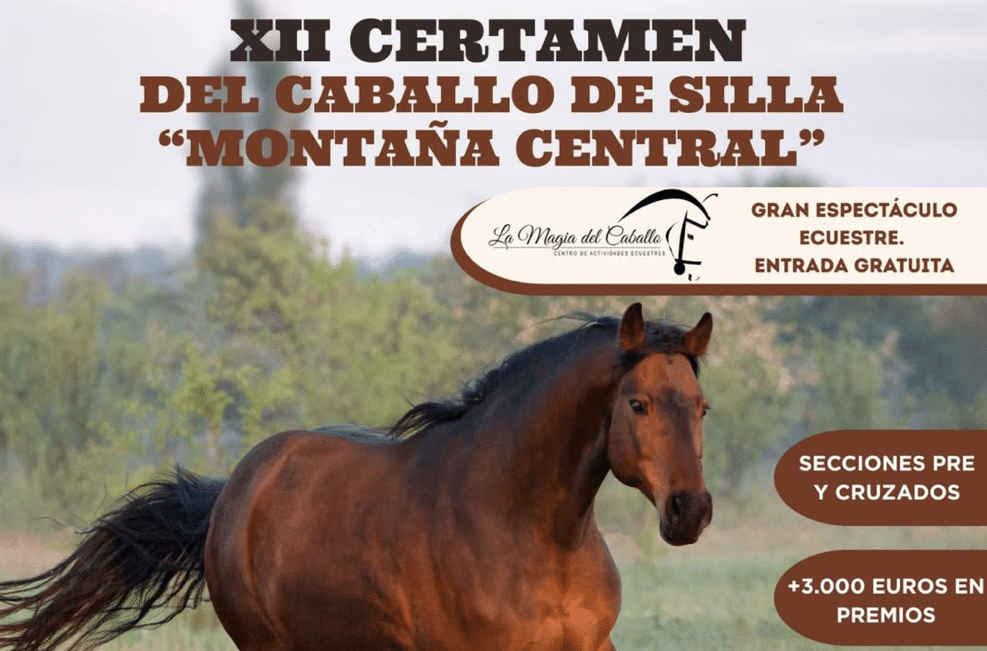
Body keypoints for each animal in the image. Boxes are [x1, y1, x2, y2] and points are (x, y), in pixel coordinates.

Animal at [0, 303, 713, 651]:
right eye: (637, 404)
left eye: (703, 407)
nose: (691, 511)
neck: (534, 536)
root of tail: (234, 490)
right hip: (268, 648)